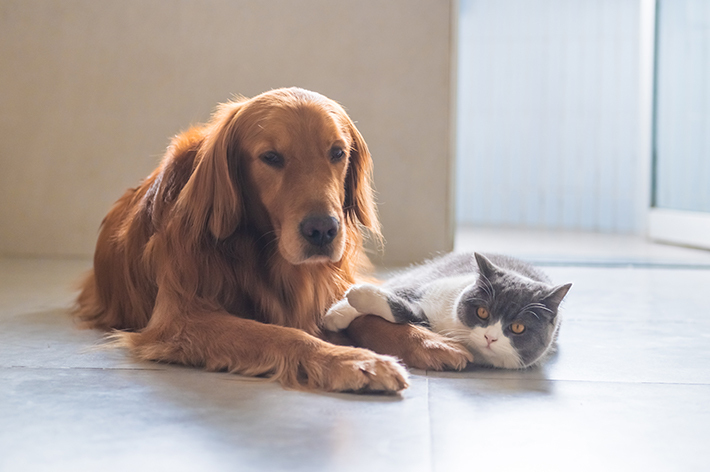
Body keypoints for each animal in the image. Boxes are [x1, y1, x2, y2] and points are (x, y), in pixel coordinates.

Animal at [76, 87, 472, 390]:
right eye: (270, 157)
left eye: (337, 152)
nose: (322, 230)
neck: (256, 250)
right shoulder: (181, 318)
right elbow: (281, 334)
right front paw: (354, 360)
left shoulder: (327, 284)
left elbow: (364, 314)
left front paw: (424, 340)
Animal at [326, 253, 576, 370]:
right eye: (482, 312)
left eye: (517, 327)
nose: (490, 337)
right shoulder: (423, 286)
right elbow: (397, 294)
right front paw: (337, 312)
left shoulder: (422, 319)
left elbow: (400, 310)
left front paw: (356, 298)